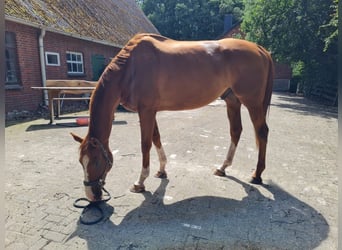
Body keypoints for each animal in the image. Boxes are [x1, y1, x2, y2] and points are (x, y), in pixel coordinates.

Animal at [71, 32, 274, 201]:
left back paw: (257, 175)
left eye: (96, 161)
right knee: (236, 131)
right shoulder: (150, 110)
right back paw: (222, 168)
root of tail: (259, 49)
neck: (130, 68)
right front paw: (161, 170)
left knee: (262, 132)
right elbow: (156, 138)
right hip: (232, 101)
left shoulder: (146, 111)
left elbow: (145, 144)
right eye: (81, 162)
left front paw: (140, 182)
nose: (91, 196)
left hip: (252, 102)